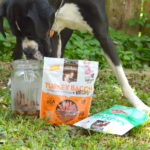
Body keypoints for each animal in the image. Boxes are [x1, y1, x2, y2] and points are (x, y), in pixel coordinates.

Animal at [0, 0, 150, 112]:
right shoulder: (53, 33)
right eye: (18, 34)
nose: (28, 52)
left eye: (31, 33)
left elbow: (121, 76)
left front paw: (139, 104)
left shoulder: (103, 36)